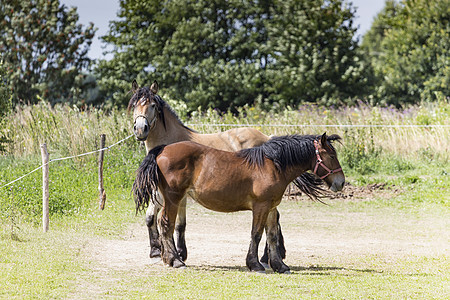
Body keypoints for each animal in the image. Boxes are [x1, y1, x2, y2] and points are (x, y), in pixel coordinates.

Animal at [129, 80, 292, 264]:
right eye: (134, 105)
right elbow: (156, 219)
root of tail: (267, 138)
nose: (140, 129)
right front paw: (161, 251)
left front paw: (174, 253)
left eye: (153, 105)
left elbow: (174, 222)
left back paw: (268, 257)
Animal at [133, 132, 344, 274]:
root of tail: (162, 149)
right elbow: (256, 234)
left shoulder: (271, 207)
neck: (272, 165)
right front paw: (255, 264)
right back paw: (175, 260)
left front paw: (280, 265)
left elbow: (272, 236)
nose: (341, 183)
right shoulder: (261, 206)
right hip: (173, 198)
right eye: (332, 156)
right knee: (166, 225)